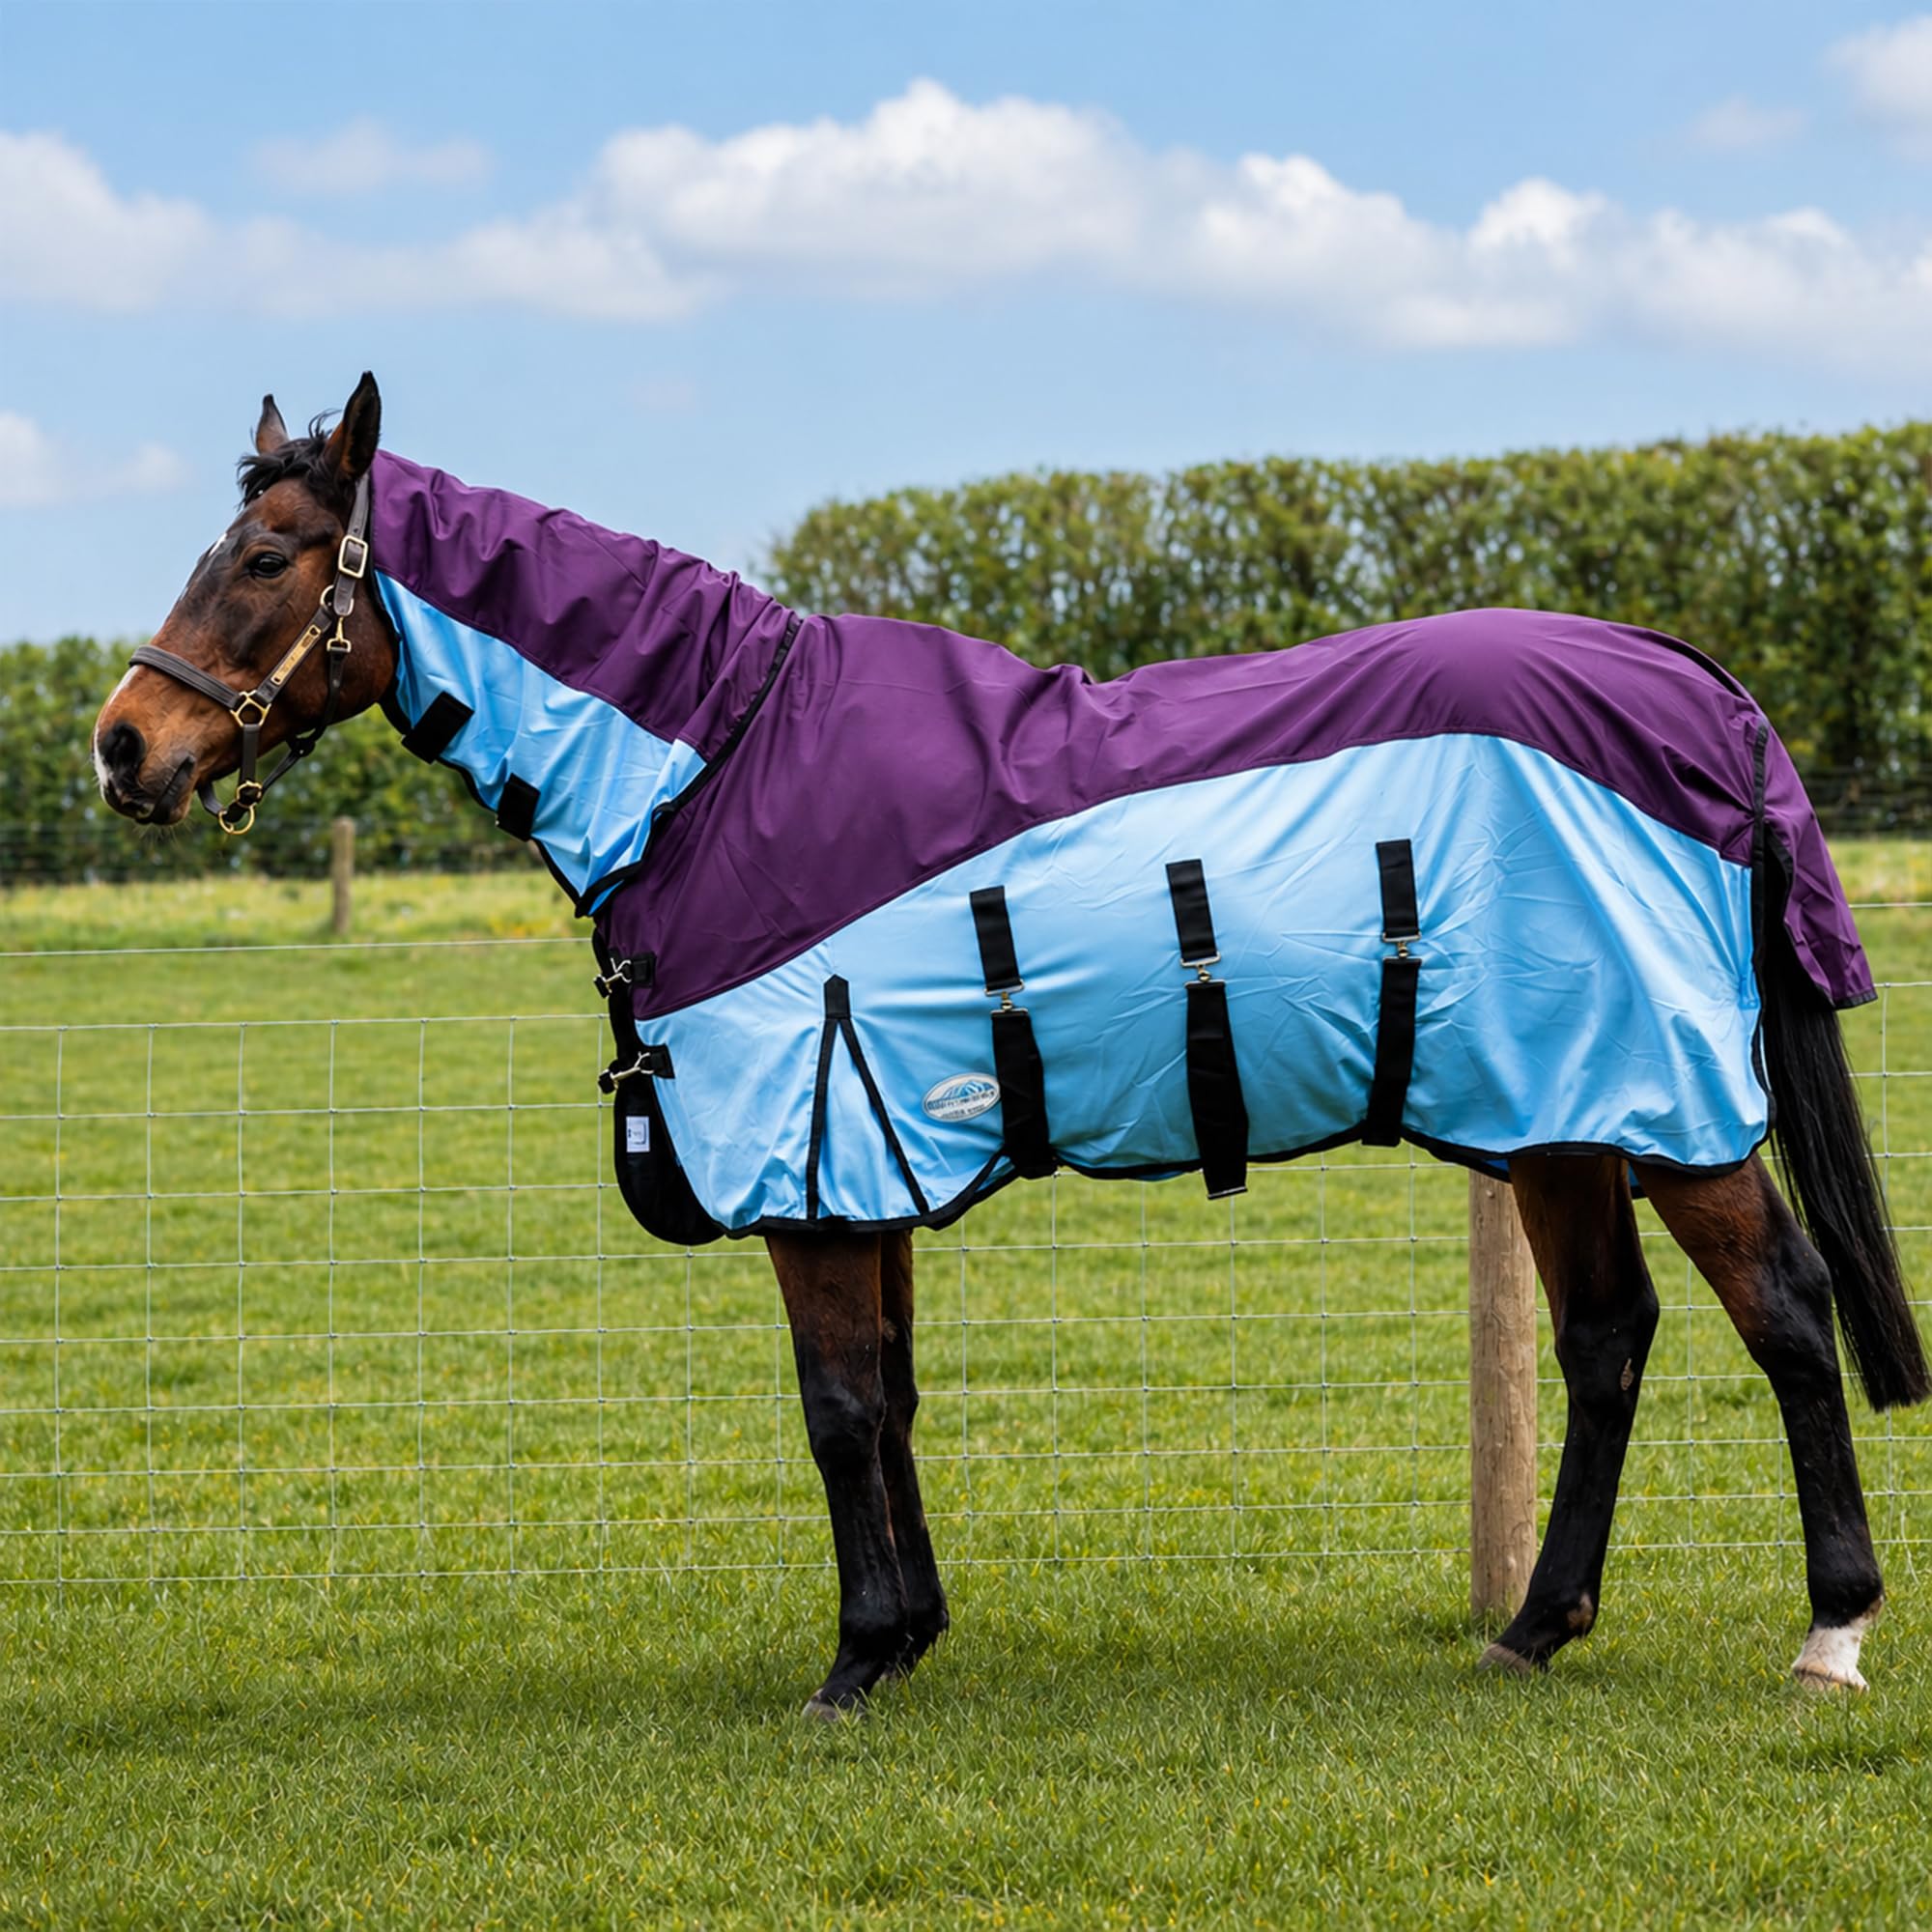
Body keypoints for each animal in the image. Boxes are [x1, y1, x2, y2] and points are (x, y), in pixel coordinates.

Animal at [93, 373, 1929, 1713]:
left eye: (266, 557)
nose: (121, 745)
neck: (726, 764)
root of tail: (1694, 685)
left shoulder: (813, 1159)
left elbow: (837, 1408)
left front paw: (850, 1667)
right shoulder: (863, 1163)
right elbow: (894, 1397)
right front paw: (910, 1631)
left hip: (1657, 1097)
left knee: (1784, 1313)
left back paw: (1830, 1631)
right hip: (1556, 1112)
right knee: (1610, 1341)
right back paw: (1538, 1627)